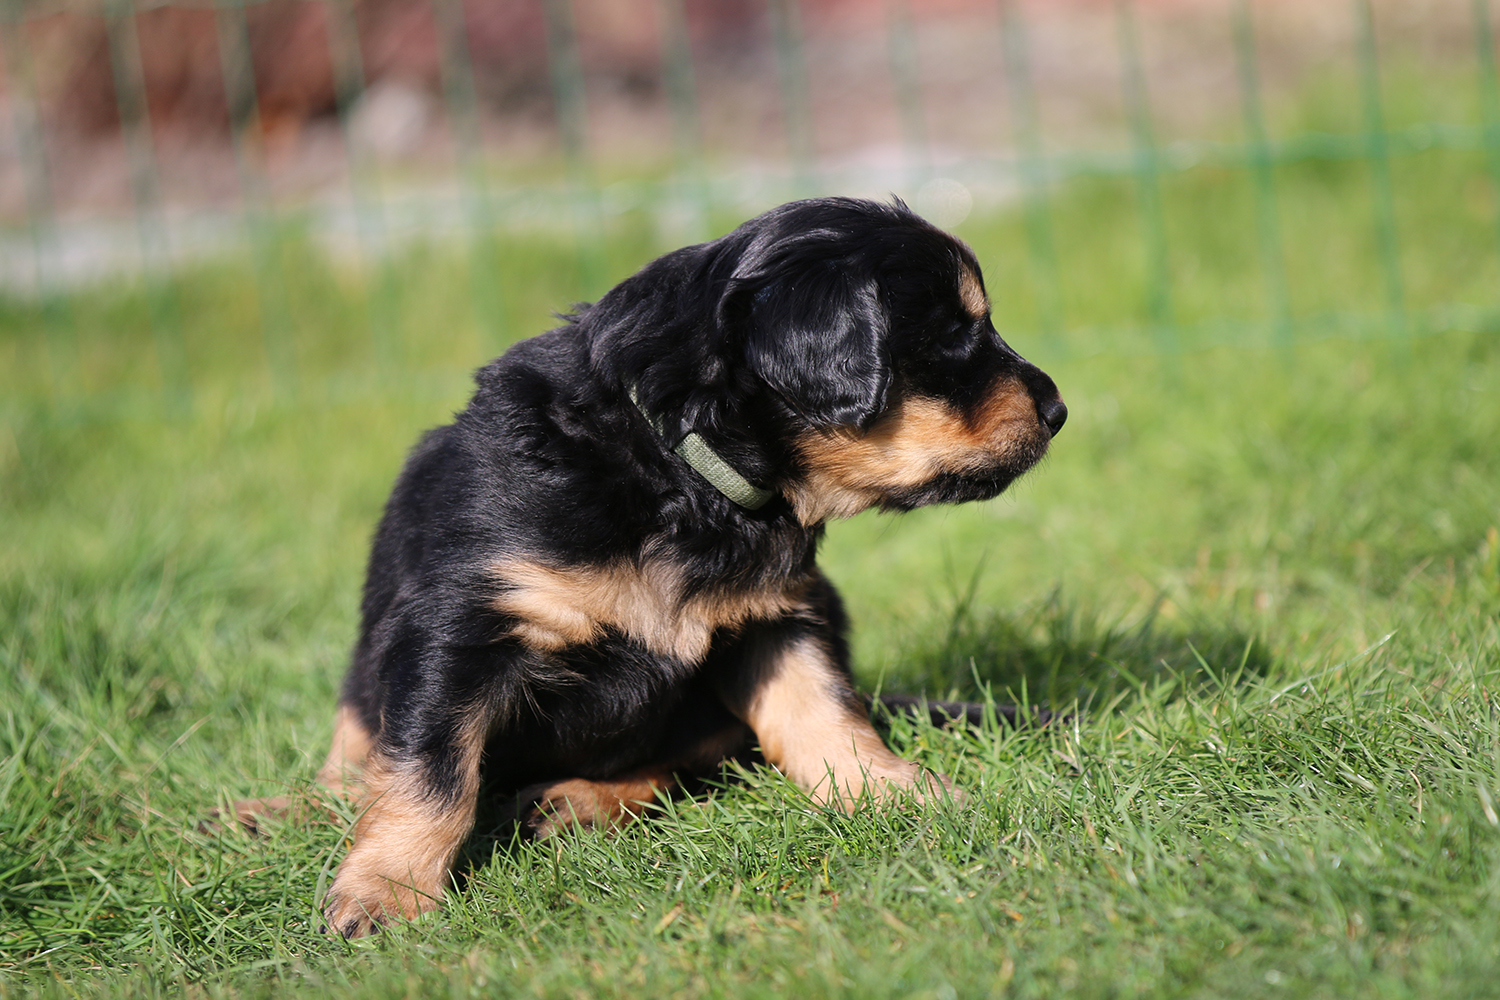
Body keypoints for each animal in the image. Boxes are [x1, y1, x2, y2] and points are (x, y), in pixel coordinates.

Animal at [253, 197, 1065, 938]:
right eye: (952, 334)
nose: (1059, 411)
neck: (680, 470)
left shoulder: (778, 615)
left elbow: (823, 713)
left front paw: (898, 794)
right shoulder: (462, 622)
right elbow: (430, 770)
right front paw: (384, 895)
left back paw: (573, 802)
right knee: (357, 754)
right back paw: (284, 810)